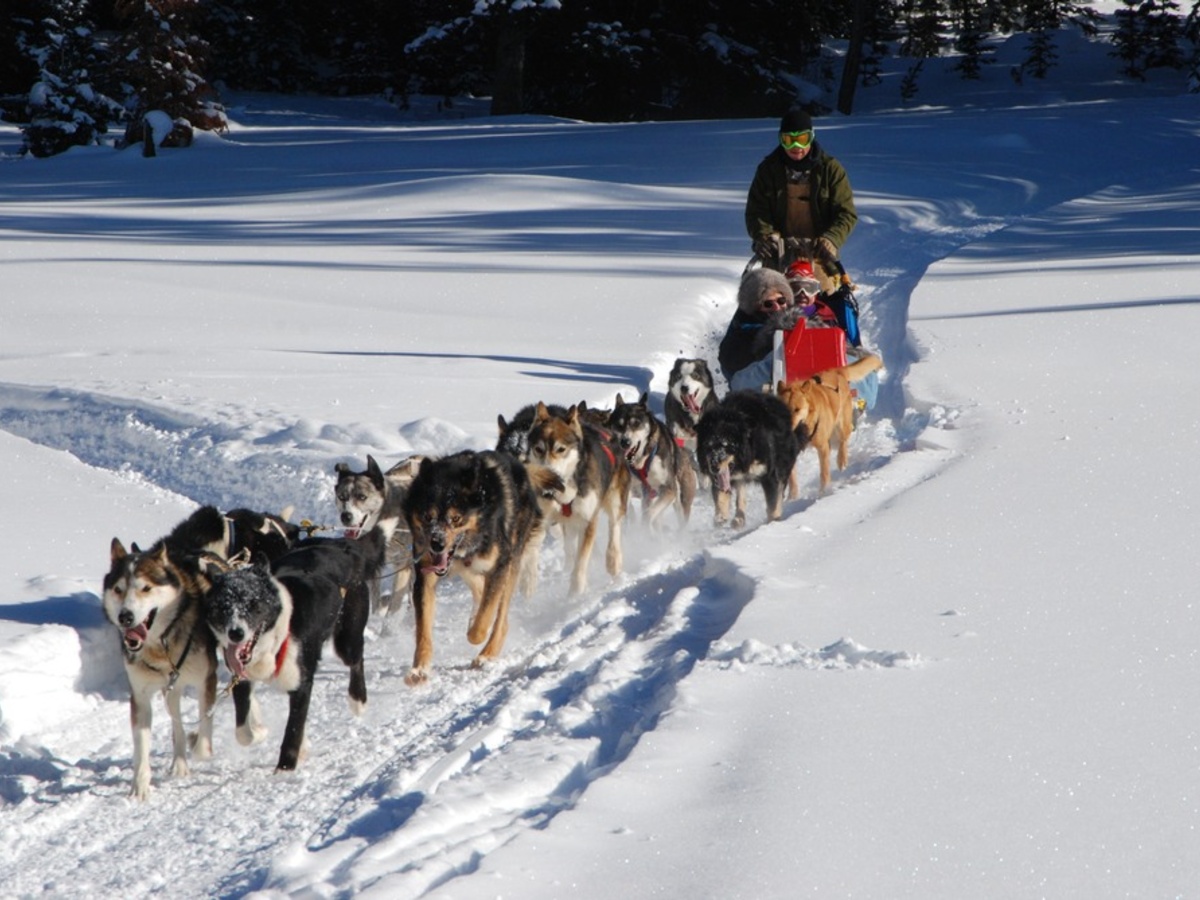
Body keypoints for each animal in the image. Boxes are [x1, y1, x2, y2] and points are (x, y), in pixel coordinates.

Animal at [204, 520, 393, 777]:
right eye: (223, 607)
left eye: (253, 604)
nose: (236, 633)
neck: (274, 638)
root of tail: (343, 547)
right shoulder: (241, 679)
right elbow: (243, 731)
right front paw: (261, 731)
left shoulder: (301, 684)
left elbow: (293, 730)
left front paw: (285, 768)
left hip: (347, 638)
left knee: (356, 660)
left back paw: (358, 700)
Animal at [333, 453, 422, 619]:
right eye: (342, 497)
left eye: (362, 497)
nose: (345, 516)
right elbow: (375, 600)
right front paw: (375, 616)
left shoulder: (402, 567)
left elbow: (393, 606)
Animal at [405, 451, 549, 681]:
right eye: (428, 517)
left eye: (456, 518)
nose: (437, 544)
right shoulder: (425, 575)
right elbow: (423, 629)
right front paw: (419, 669)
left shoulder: (499, 566)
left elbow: (483, 622)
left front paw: (476, 632)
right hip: (469, 570)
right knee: (482, 593)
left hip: (511, 564)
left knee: (501, 619)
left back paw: (487, 654)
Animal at [604, 393, 700, 532]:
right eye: (619, 425)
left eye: (636, 424)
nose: (625, 442)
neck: (641, 460)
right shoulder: (627, 489)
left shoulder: (668, 489)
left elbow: (648, 514)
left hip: (680, 498)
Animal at [696, 391, 796, 532]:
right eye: (708, 446)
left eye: (726, 445)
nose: (713, 467)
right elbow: (722, 495)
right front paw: (721, 517)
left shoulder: (769, 475)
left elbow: (773, 503)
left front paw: (773, 523)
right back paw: (738, 519)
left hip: (783, 464)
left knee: (780, 489)